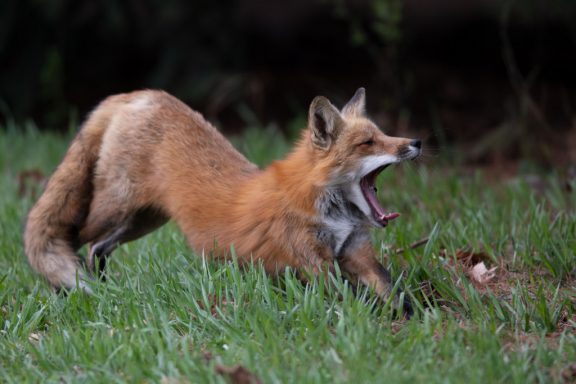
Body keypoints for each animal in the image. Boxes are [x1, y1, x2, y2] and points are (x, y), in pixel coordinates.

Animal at [24, 88, 420, 316]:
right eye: (367, 143)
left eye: (383, 134)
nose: (415, 142)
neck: (331, 211)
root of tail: (136, 94)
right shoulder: (314, 261)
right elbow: (354, 300)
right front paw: (375, 325)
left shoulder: (355, 250)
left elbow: (395, 294)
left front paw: (414, 323)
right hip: (115, 208)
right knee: (72, 237)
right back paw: (70, 291)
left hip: (143, 220)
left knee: (96, 248)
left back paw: (107, 290)